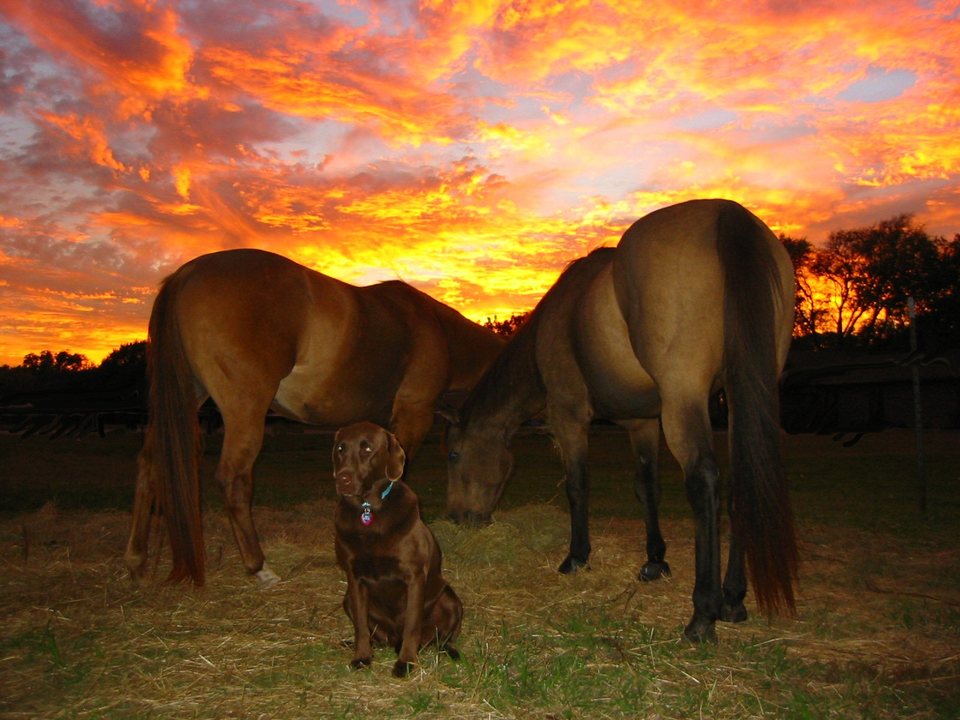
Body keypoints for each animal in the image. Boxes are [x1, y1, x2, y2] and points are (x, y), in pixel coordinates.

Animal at [124, 248, 506, 584]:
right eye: (454, 455)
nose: (468, 519)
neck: (438, 330)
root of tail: (188, 272)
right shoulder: (414, 413)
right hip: (245, 408)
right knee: (233, 479)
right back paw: (259, 567)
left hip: (186, 398)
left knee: (148, 465)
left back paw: (137, 562)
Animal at [332, 420, 464, 676]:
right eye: (341, 449)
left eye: (367, 449)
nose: (342, 479)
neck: (368, 510)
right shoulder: (354, 578)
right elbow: (361, 626)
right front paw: (362, 657)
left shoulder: (414, 576)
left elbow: (411, 625)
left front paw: (406, 662)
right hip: (347, 599)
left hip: (450, 599)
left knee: (443, 639)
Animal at [446, 200, 800, 644]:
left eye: (455, 455)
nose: (457, 517)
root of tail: (726, 212)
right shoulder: (642, 423)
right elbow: (647, 489)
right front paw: (655, 562)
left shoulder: (569, 416)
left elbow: (577, 486)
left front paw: (577, 557)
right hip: (742, 394)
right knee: (741, 481)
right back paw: (733, 598)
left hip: (684, 395)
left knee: (704, 480)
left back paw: (704, 612)